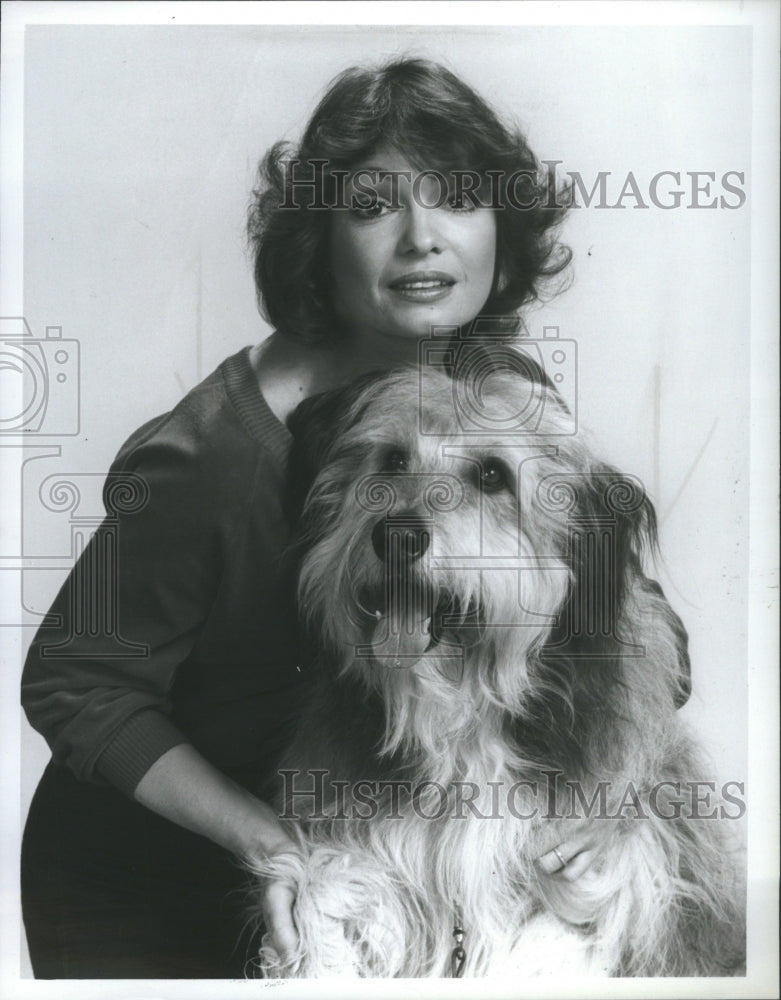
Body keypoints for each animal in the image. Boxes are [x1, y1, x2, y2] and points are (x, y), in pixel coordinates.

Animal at [250, 358, 744, 976]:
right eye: (392, 459)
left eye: (492, 474)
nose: (396, 535)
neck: (459, 715)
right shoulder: (363, 854)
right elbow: (323, 900)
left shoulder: (599, 872)